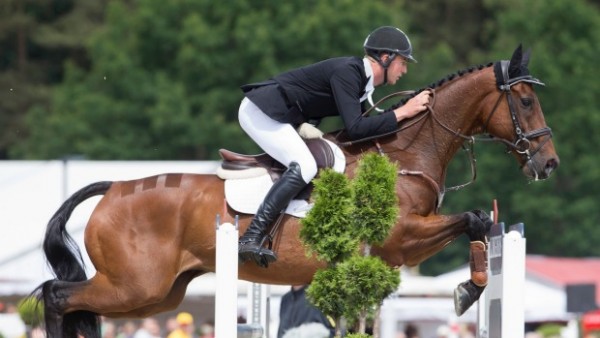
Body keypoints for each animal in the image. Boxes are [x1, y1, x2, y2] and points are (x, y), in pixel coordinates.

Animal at [34, 45, 556, 338]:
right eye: (525, 100)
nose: (548, 164)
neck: (403, 154)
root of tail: (114, 187)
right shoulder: (403, 238)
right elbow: (471, 219)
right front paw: (468, 289)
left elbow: (480, 221)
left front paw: (470, 285)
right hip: (134, 285)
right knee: (59, 295)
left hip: (158, 295)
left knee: (76, 301)